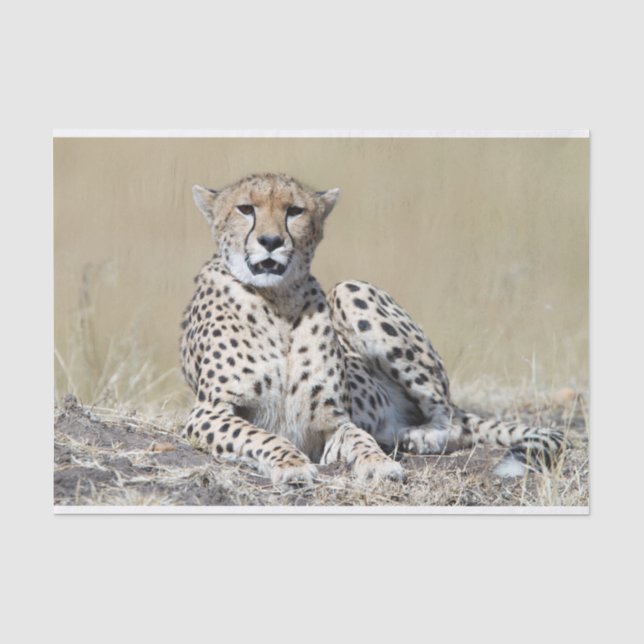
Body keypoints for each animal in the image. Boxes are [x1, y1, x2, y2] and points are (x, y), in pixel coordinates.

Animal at [179, 172, 566, 485]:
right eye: (245, 209)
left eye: (295, 211)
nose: (271, 241)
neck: (278, 301)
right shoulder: (208, 412)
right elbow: (261, 436)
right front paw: (291, 464)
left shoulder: (334, 422)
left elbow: (359, 438)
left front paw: (378, 463)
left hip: (350, 289)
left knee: (451, 419)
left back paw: (422, 436)